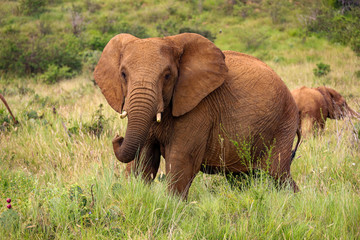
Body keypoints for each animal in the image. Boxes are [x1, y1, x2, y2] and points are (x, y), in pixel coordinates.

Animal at [93, 33, 300, 199]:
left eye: (167, 75)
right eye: (123, 74)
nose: (117, 138)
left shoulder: (200, 108)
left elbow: (181, 160)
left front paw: (172, 206)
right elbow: (142, 160)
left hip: (283, 125)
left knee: (278, 175)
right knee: (241, 178)